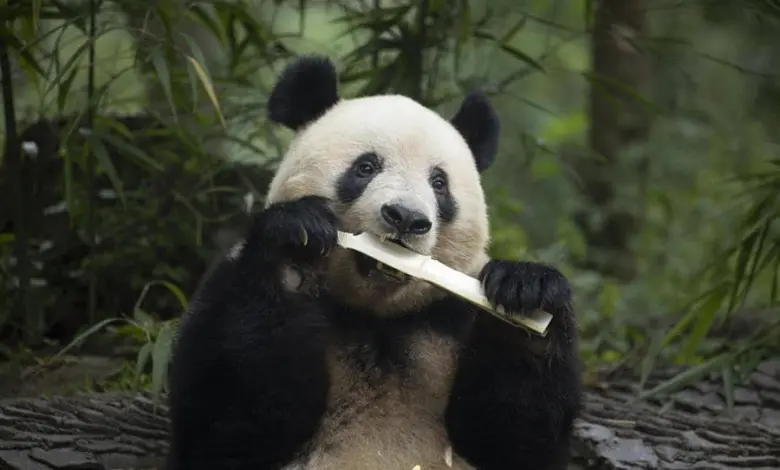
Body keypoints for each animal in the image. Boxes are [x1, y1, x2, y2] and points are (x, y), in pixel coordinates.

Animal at [165, 55, 582, 470]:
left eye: (439, 183)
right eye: (366, 168)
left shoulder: (451, 316)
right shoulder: (227, 287)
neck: (376, 315)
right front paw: (295, 243)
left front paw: (526, 296)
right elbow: (226, 422)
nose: (406, 218)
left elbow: (513, 438)